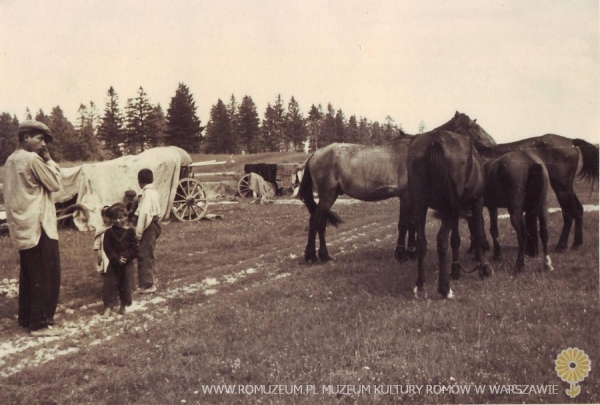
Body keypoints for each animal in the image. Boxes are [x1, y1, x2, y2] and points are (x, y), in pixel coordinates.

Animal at [296, 111, 496, 262]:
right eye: (472, 127)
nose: (493, 144)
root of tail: (314, 154)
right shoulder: (406, 196)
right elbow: (405, 224)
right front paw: (402, 253)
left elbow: (412, 224)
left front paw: (411, 251)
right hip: (327, 196)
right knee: (315, 222)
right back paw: (314, 256)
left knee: (320, 223)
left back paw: (322, 255)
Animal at [408, 131, 492, 298]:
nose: (491, 144)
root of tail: (434, 141)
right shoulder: (477, 202)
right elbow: (478, 232)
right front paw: (482, 267)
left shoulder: (455, 211)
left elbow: (455, 239)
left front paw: (455, 270)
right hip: (448, 209)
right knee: (441, 240)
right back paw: (445, 288)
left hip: (420, 205)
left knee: (421, 242)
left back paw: (420, 287)